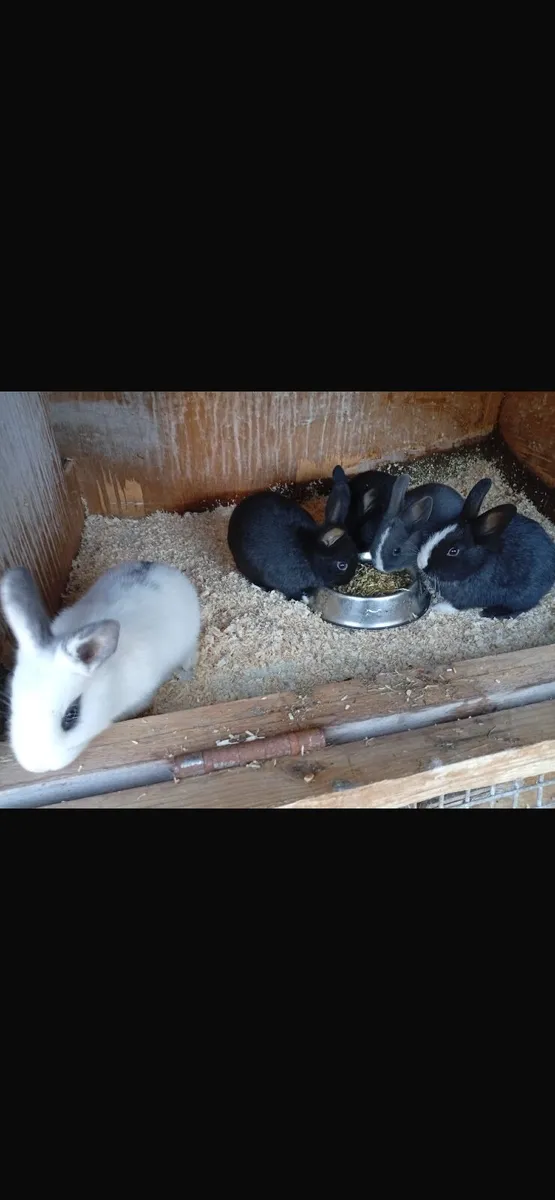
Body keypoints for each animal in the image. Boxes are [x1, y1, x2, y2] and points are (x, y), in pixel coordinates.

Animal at [227, 473, 358, 600]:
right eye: (342, 565)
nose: (348, 580)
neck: (308, 554)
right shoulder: (287, 583)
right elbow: (292, 593)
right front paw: (302, 598)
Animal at [416, 478, 555, 618]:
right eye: (439, 528)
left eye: (453, 551)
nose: (421, 563)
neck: (479, 564)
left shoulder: (470, 597)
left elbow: (456, 606)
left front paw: (438, 607)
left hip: (523, 596)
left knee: (523, 607)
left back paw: (490, 612)